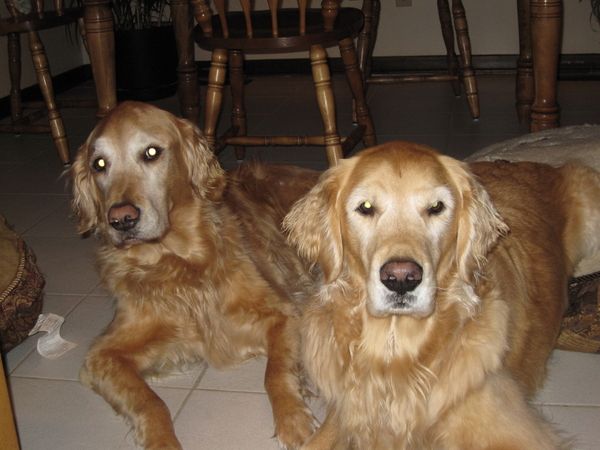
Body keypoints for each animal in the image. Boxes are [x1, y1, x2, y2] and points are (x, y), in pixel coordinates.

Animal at [71, 101, 320, 449]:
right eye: (99, 164)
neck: (178, 263)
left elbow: (275, 372)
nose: (121, 219)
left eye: (151, 152)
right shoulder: (101, 355)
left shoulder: (285, 312)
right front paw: (161, 441)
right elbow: (148, 401)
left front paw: (294, 420)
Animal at [283, 141, 600, 449]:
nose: (401, 278)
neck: (396, 354)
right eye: (366, 207)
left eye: (436, 207)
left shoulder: (517, 433)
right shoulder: (347, 416)